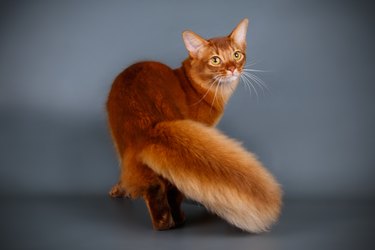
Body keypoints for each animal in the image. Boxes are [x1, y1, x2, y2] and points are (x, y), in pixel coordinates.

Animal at [106, 18, 282, 232]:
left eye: (236, 54)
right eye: (215, 60)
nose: (233, 69)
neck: (196, 86)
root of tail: (148, 122)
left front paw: (119, 189)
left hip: (122, 144)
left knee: (151, 183)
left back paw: (163, 221)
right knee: (170, 188)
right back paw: (176, 219)